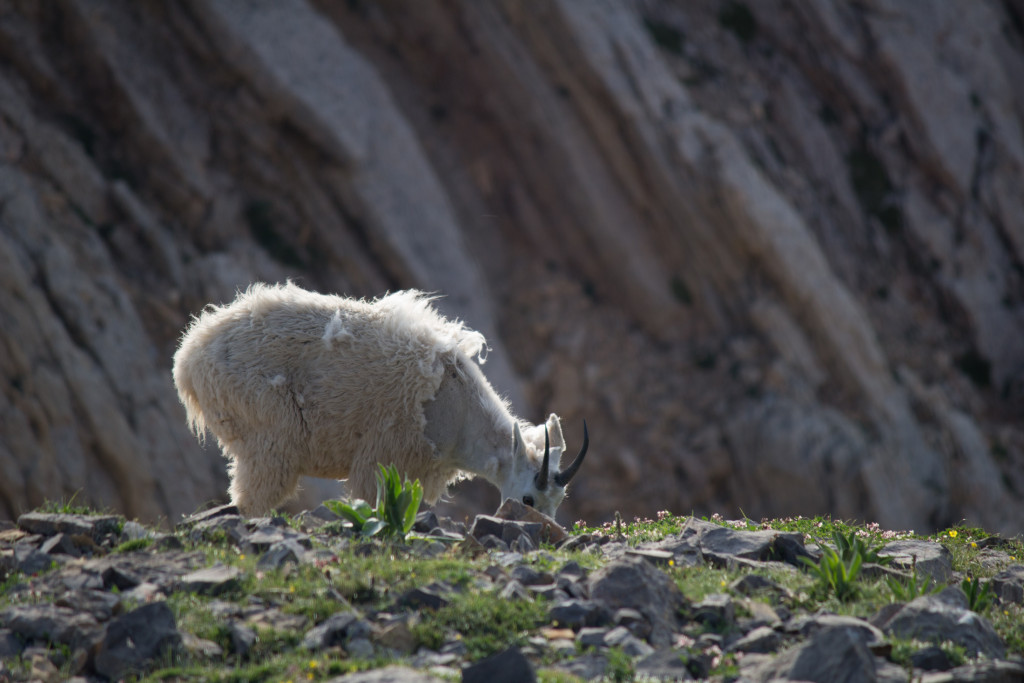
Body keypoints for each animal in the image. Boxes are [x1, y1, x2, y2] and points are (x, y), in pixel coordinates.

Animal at [172, 282, 589, 518]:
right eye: (529, 499)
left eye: (558, 502)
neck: (457, 411)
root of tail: (190, 355)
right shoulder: (384, 455)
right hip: (267, 426)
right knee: (253, 498)